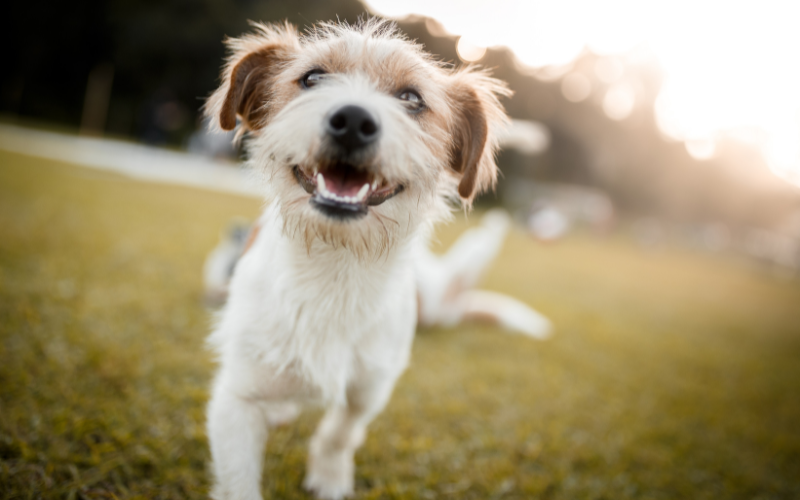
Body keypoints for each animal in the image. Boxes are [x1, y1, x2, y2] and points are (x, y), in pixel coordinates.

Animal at [203, 19, 552, 500]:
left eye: (411, 98)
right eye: (312, 78)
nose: (352, 120)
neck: (336, 264)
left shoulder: (371, 386)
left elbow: (341, 432)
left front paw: (330, 476)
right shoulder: (237, 397)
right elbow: (239, 478)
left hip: (435, 301)